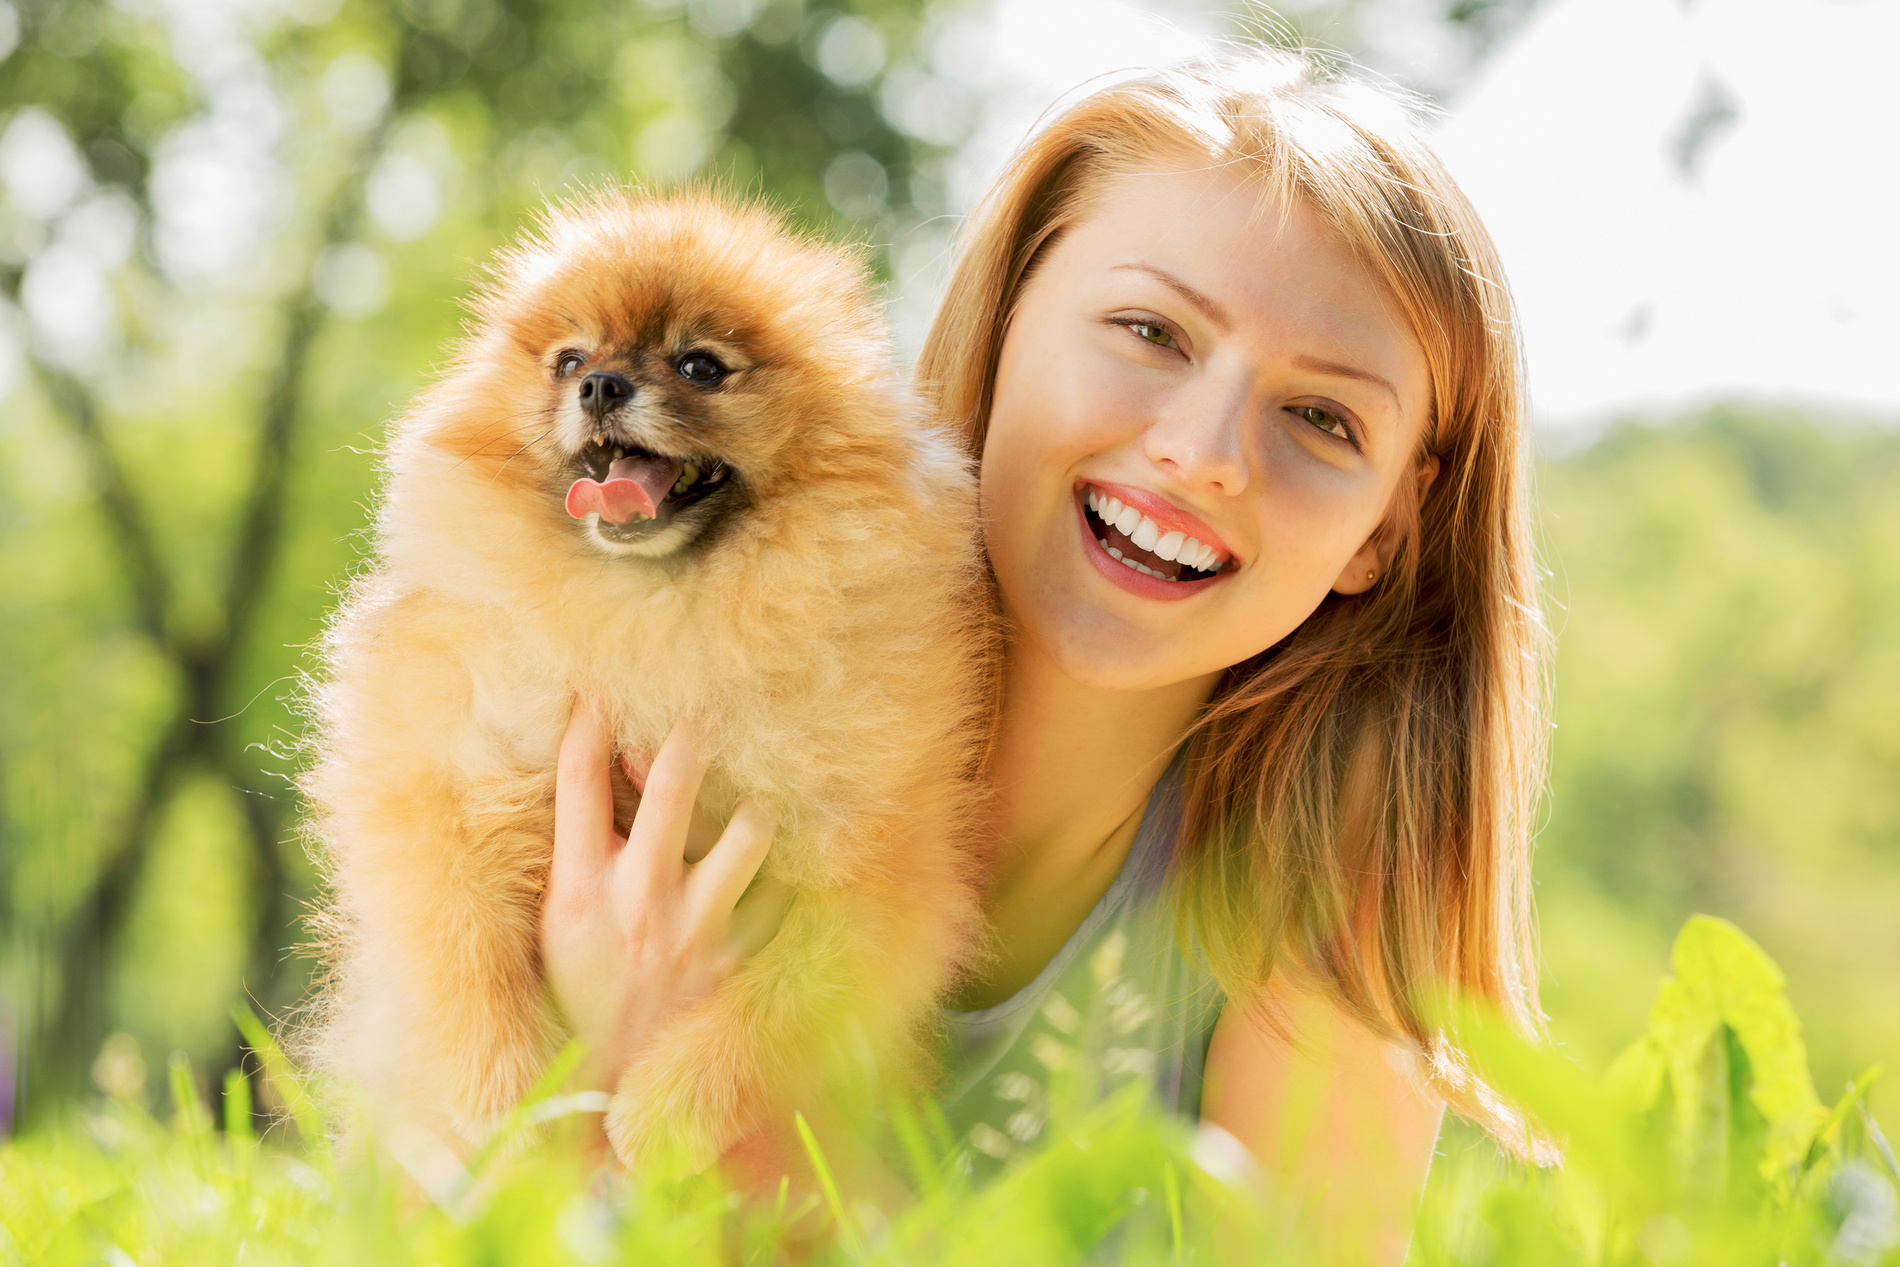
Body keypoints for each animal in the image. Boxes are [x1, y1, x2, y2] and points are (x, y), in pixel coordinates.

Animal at [300, 188, 995, 1170]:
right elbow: (460, 937)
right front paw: (511, 1094)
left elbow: (780, 1002)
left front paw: (670, 1109)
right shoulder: (446, 779)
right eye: (569, 359)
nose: (599, 385)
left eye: (701, 365)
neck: (652, 615)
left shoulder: (878, 870)